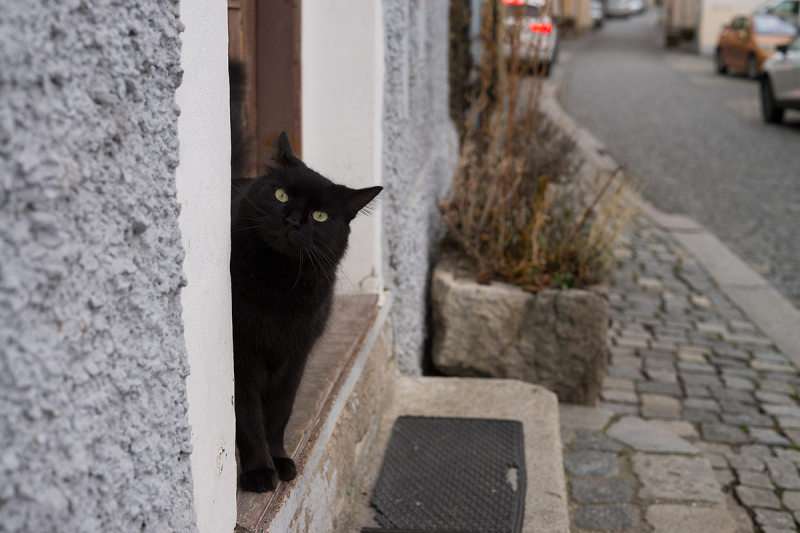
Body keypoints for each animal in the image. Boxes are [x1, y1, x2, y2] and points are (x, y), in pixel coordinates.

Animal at [230, 124, 382, 490]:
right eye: (281, 195)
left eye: (320, 216)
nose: (293, 220)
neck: (277, 284)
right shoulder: (243, 356)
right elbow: (248, 416)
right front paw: (259, 471)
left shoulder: (294, 355)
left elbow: (278, 414)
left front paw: (280, 460)